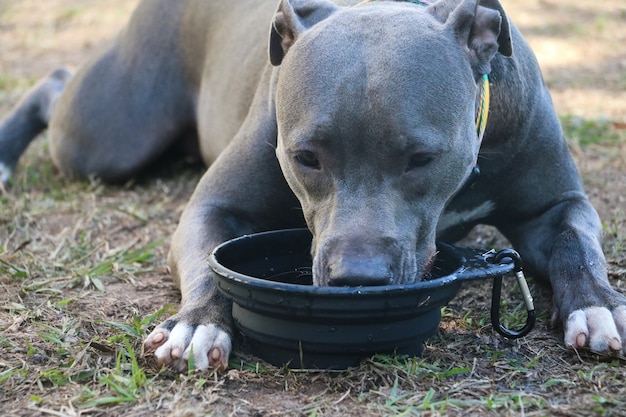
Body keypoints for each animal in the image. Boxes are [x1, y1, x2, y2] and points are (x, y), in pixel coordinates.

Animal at [1, 0, 624, 370]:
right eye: (306, 157)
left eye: (422, 158)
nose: (358, 279)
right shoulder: (212, 207)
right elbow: (207, 262)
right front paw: (196, 323)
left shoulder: (557, 206)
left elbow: (574, 243)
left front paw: (596, 305)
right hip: (107, 138)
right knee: (55, 84)